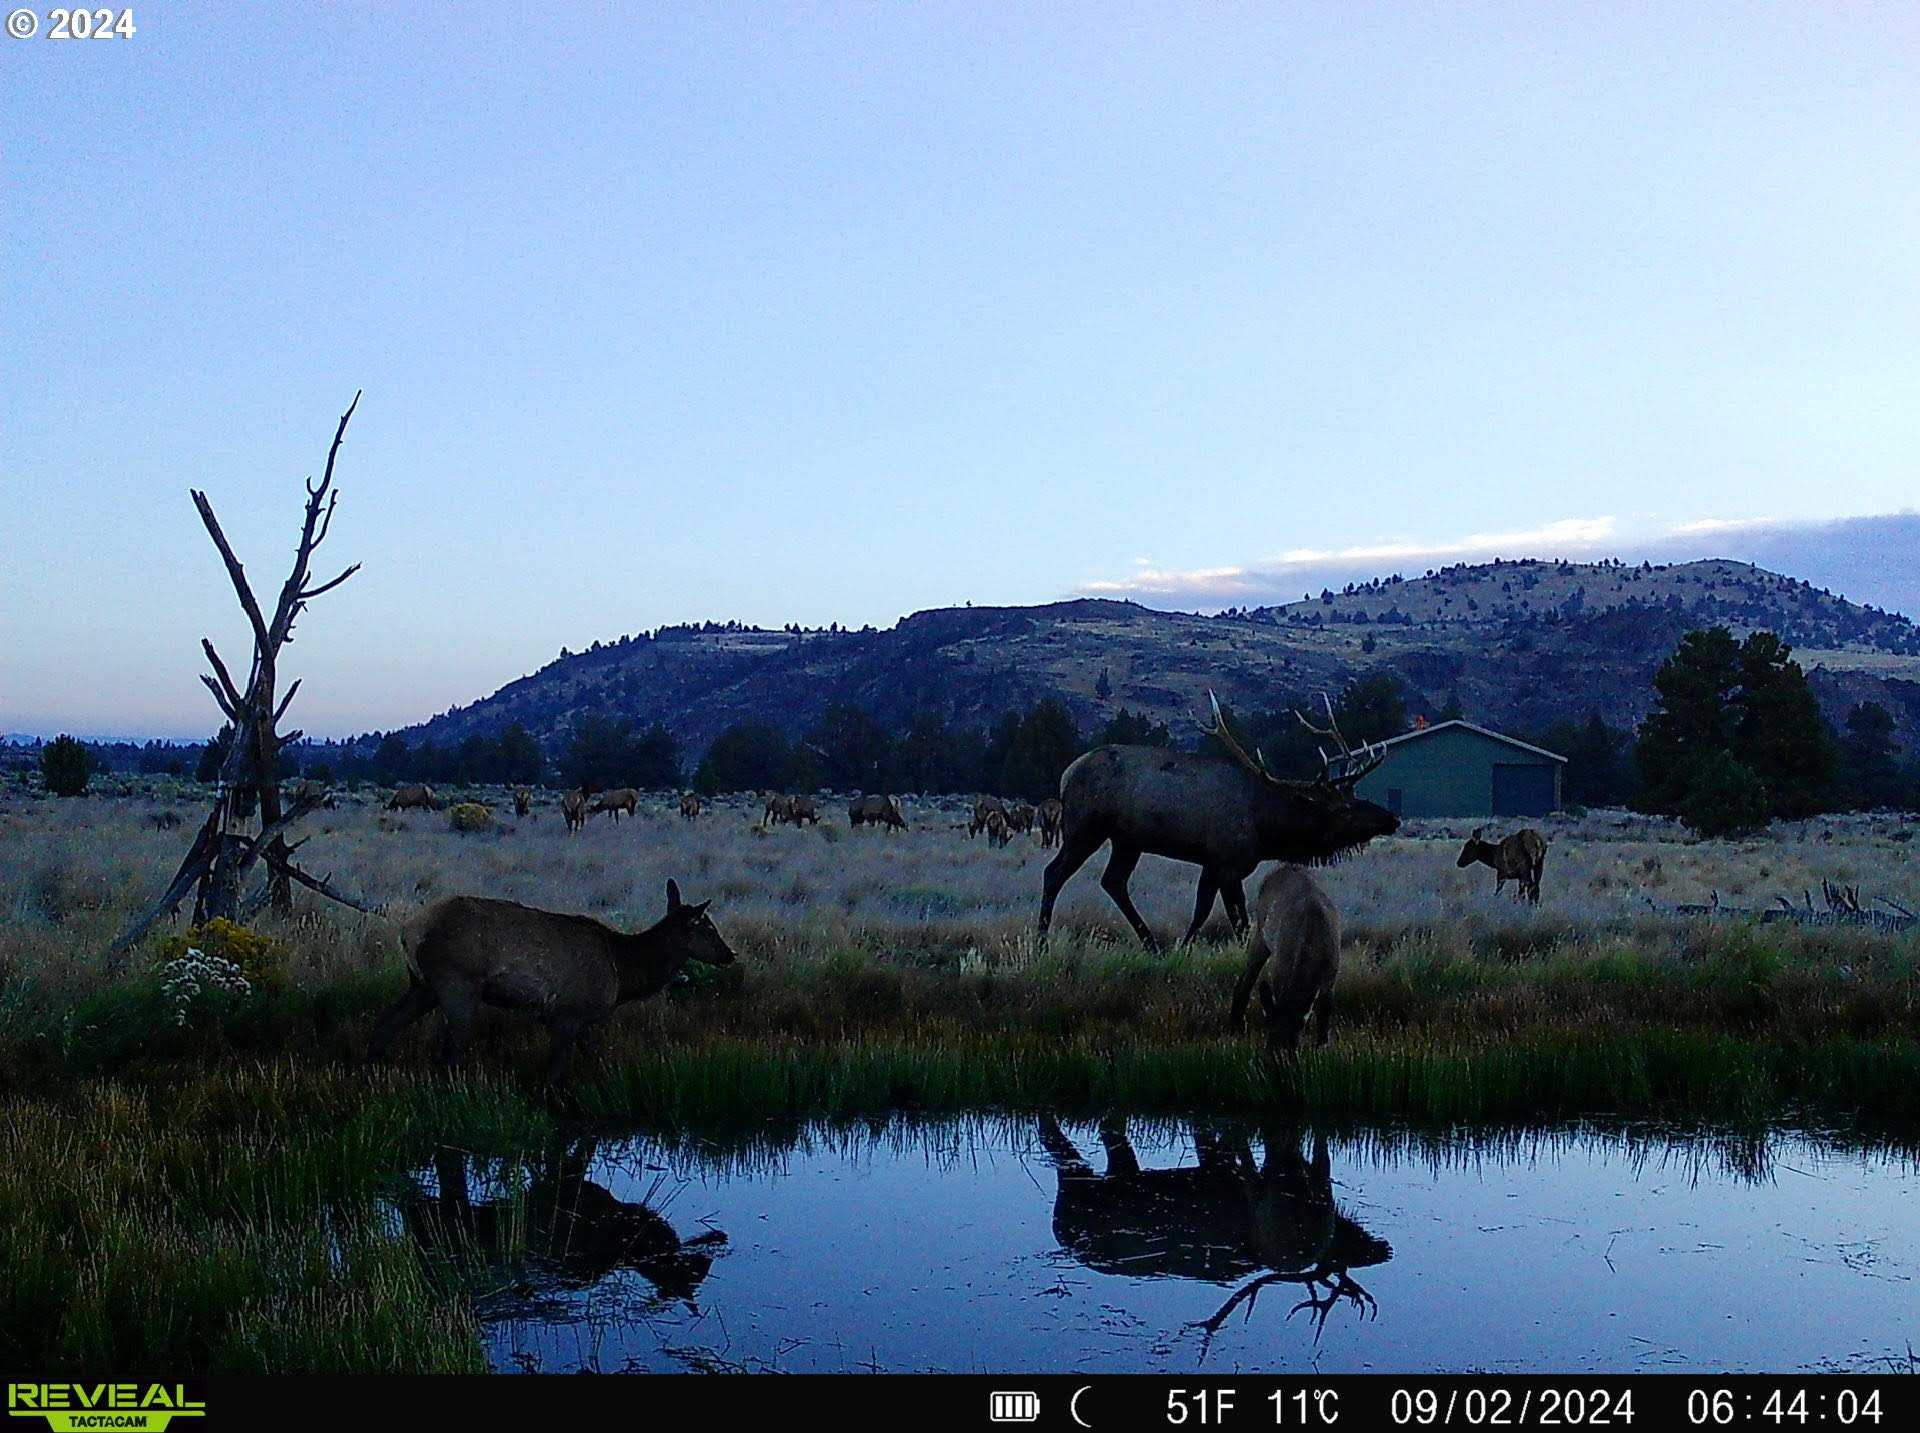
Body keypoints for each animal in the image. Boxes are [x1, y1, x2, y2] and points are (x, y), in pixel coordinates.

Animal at [1036, 691, 1397, 948]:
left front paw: (1183, 947)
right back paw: (1042, 943)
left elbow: (1201, 912)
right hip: (1084, 829)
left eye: (1354, 797)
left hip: (1128, 840)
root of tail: (1067, 774)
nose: (1391, 818)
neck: (1267, 830)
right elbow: (1240, 922)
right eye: (1342, 809)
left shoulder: (1212, 864)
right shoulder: (1228, 863)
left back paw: (1152, 944)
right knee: (1054, 873)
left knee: (1113, 880)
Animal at [1228, 860, 1336, 1052]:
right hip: (1260, 935)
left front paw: (1322, 1046)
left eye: (1294, 1040)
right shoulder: (1280, 972)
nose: (1273, 1053)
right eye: (1269, 1029)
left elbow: (1324, 1014)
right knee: (1246, 979)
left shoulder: (1329, 980)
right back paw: (1235, 1024)